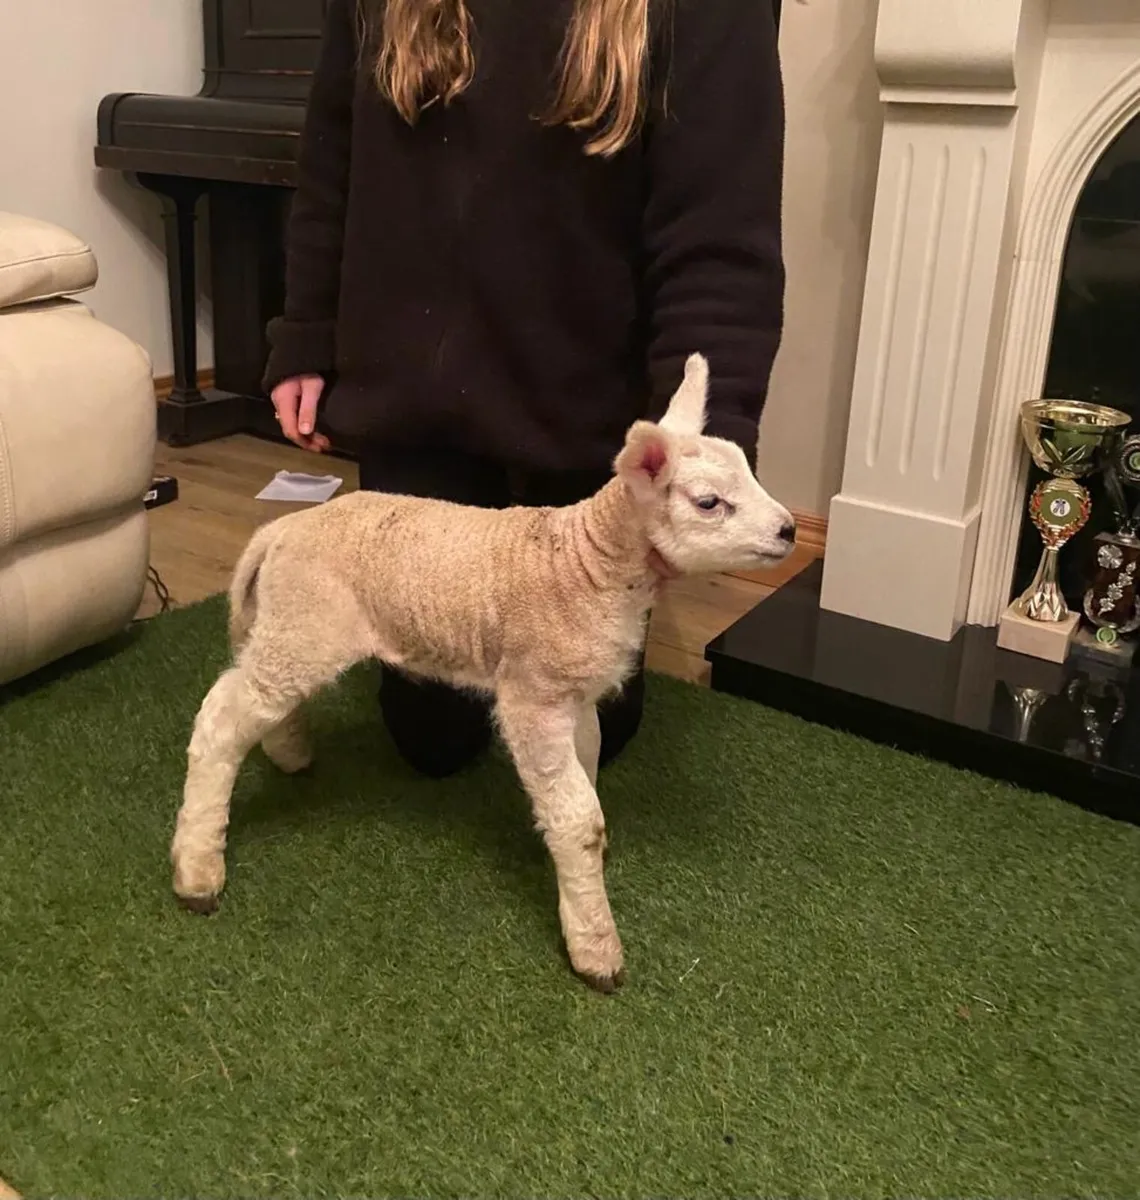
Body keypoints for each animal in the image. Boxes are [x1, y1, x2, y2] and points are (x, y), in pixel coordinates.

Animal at [170, 353, 794, 991]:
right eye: (709, 503)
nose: (790, 530)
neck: (588, 561)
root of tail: (281, 532)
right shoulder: (533, 697)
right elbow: (579, 819)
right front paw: (595, 946)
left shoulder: (573, 694)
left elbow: (588, 768)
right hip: (306, 621)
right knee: (222, 716)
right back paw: (198, 869)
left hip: (293, 624)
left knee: (259, 693)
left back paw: (288, 752)